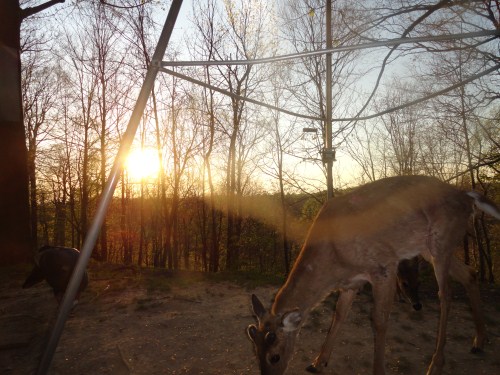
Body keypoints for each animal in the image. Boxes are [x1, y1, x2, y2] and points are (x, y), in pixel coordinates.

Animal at [247, 176, 500, 375]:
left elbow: (379, 320)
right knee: (470, 273)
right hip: (430, 248)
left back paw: (436, 364)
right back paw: (479, 341)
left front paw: (378, 369)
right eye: (255, 353)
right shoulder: (351, 282)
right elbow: (339, 314)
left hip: (442, 241)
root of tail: (467, 196)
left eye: (275, 356)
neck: (334, 258)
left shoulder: (384, 265)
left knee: (445, 295)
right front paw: (318, 362)